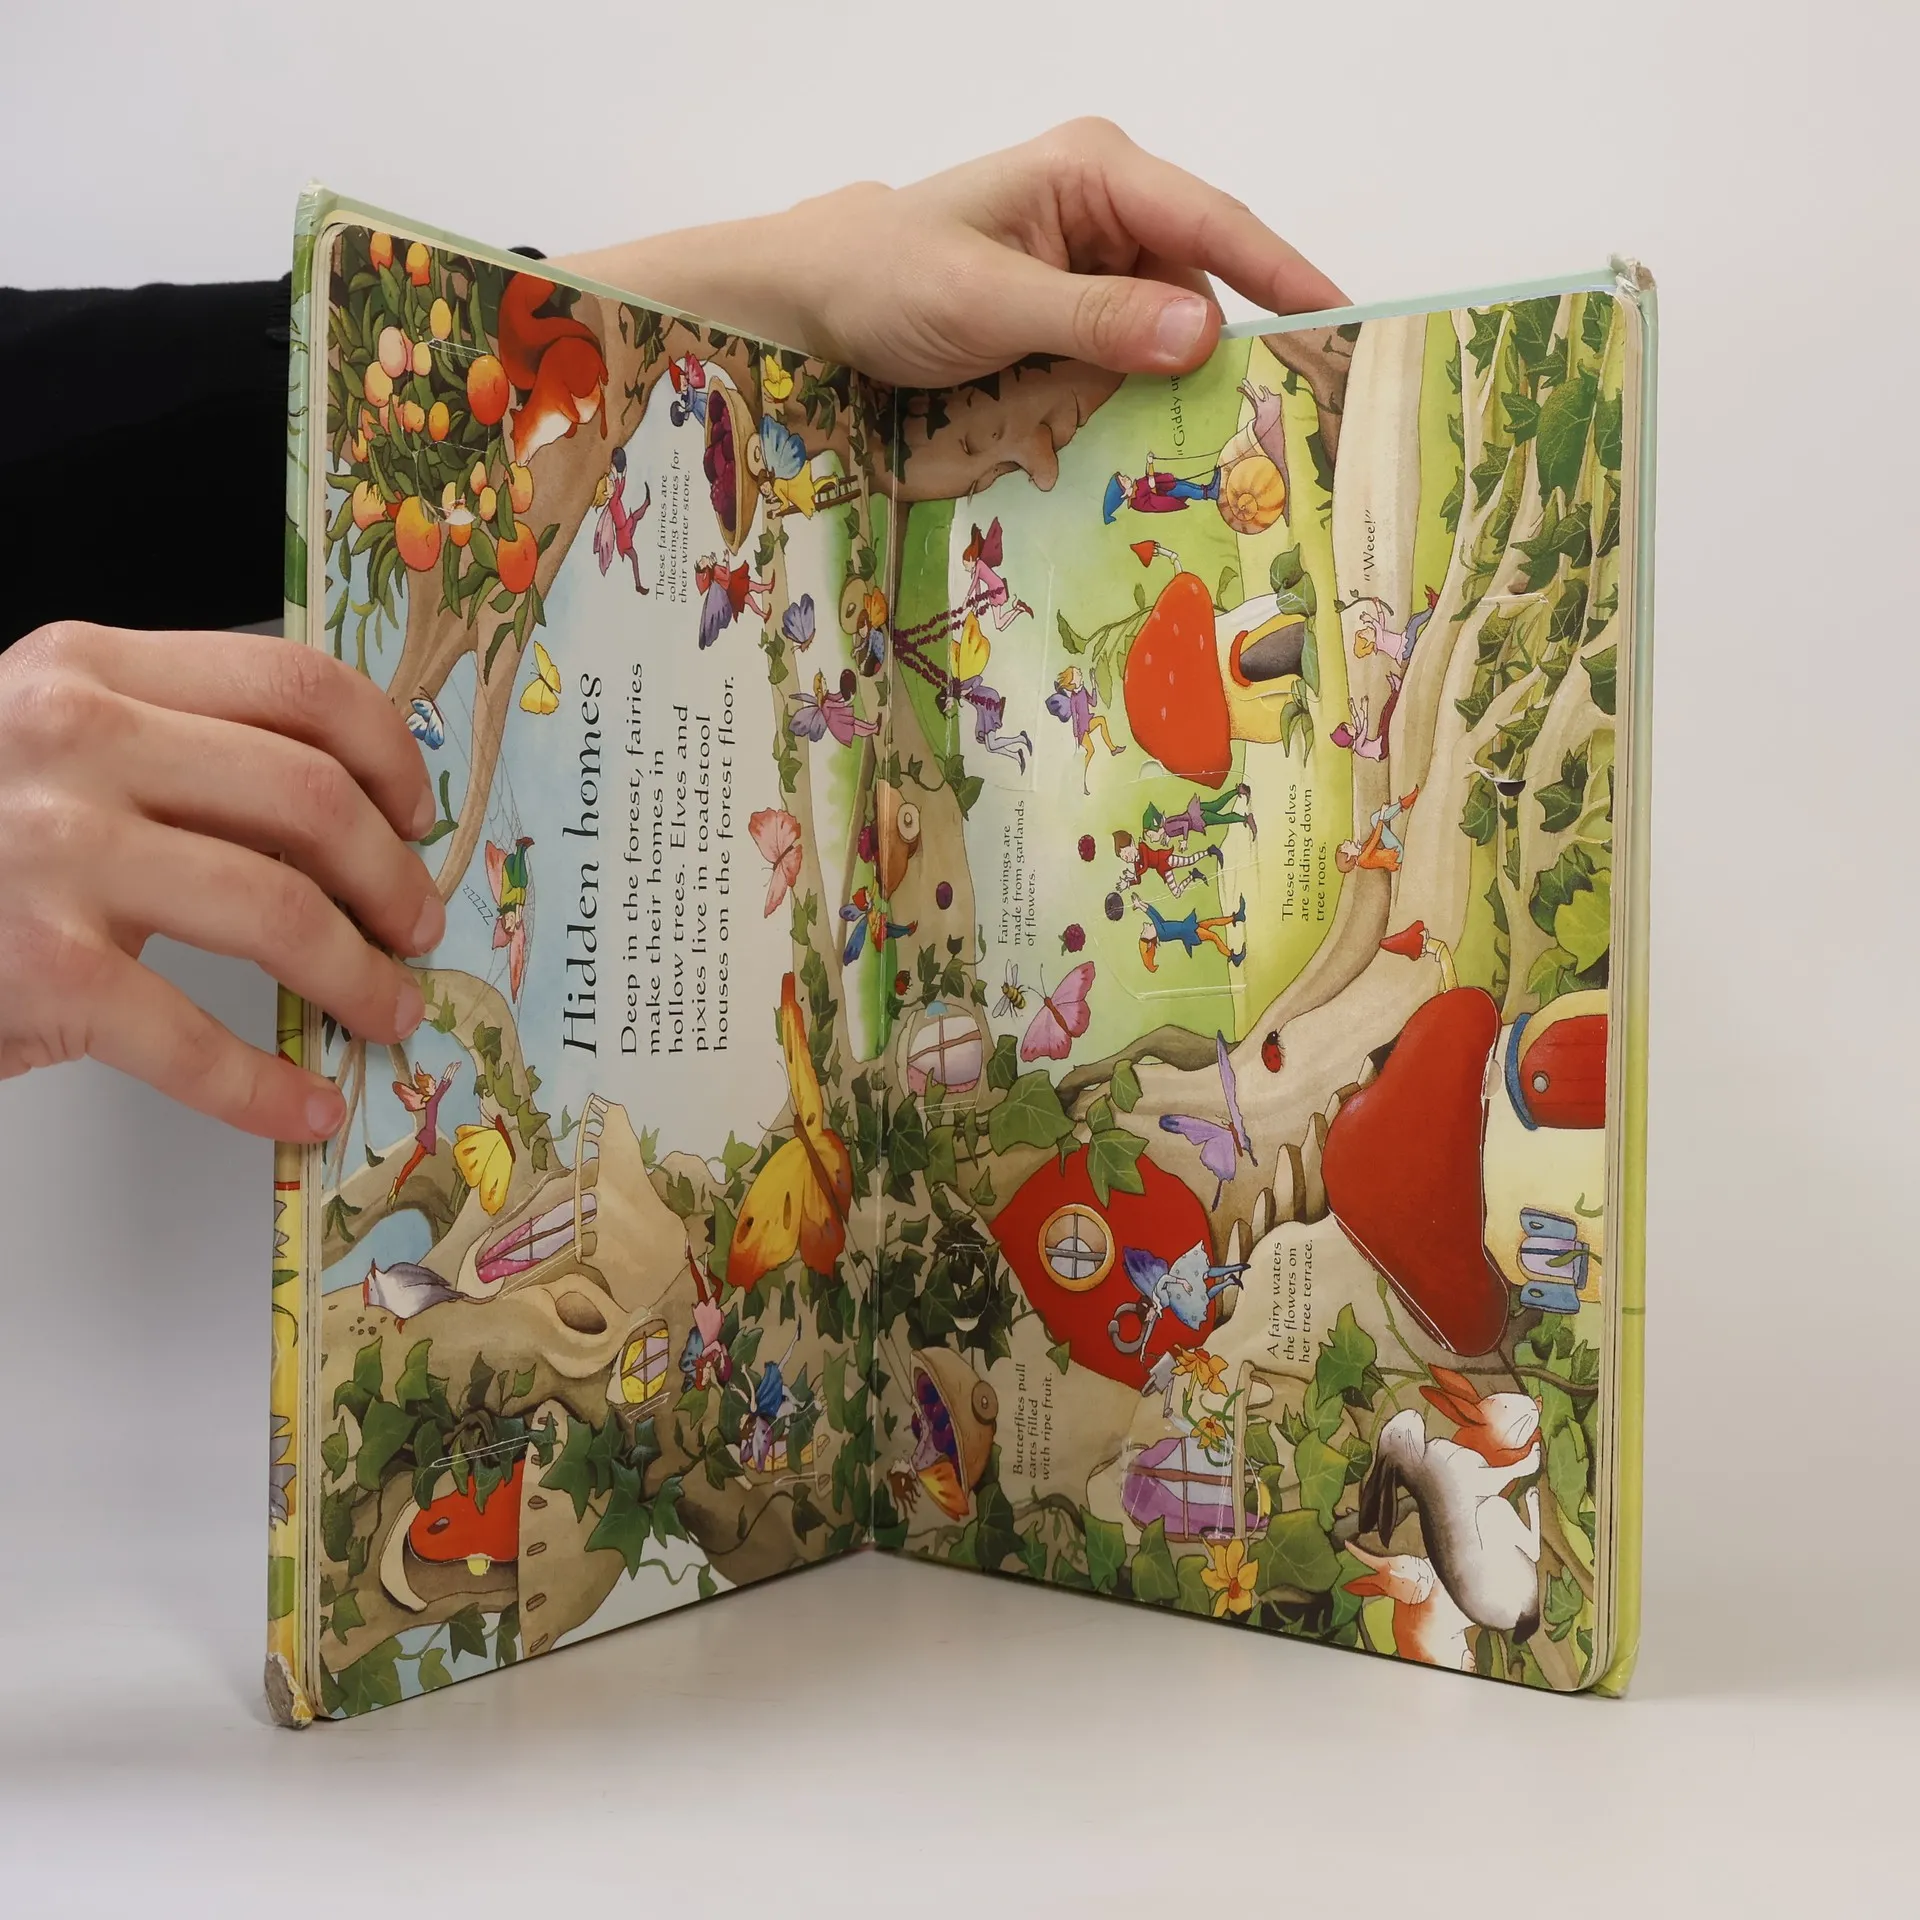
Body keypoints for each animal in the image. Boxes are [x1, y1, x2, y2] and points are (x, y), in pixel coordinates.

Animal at [1359, 1408, 1542, 1639]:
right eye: (1397, 1435)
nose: (1412, 1413)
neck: (1418, 1461)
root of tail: (1523, 1617)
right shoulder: (1480, 1479)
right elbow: (1508, 1472)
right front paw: (1534, 1455)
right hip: (1492, 1509)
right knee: (1534, 1552)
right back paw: (1532, 1495)